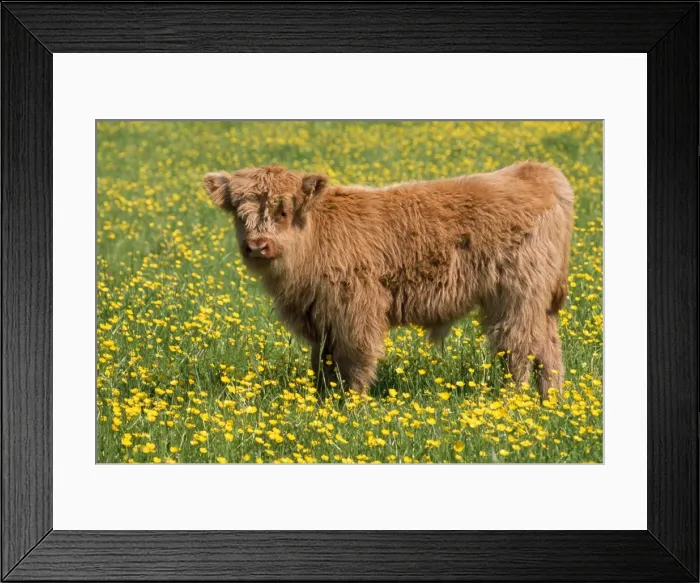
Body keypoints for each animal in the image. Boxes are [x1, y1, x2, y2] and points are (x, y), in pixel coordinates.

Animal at [203, 162, 574, 399]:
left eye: (283, 211)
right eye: (239, 213)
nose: (257, 246)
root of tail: (536, 171)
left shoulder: (355, 310)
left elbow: (354, 359)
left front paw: (352, 406)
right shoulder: (321, 319)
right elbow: (322, 362)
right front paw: (324, 402)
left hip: (516, 296)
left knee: (518, 346)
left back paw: (515, 401)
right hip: (538, 303)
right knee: (548, 347)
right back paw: (550, 401)